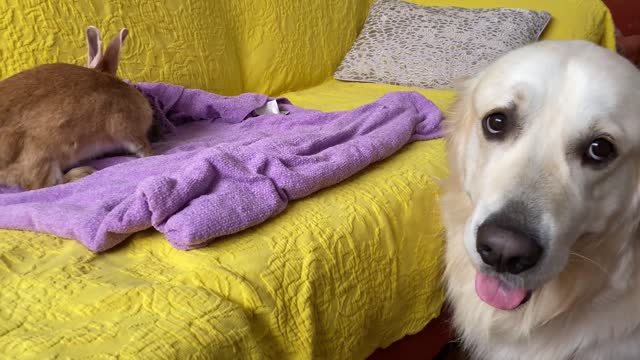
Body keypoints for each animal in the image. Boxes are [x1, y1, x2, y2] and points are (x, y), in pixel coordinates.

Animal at [0, 26, 154, 190]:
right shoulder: (131, 131)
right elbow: (143, 148)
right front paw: (152, 154)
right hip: (41, 154)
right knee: (43, 184)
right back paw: (84, 172)